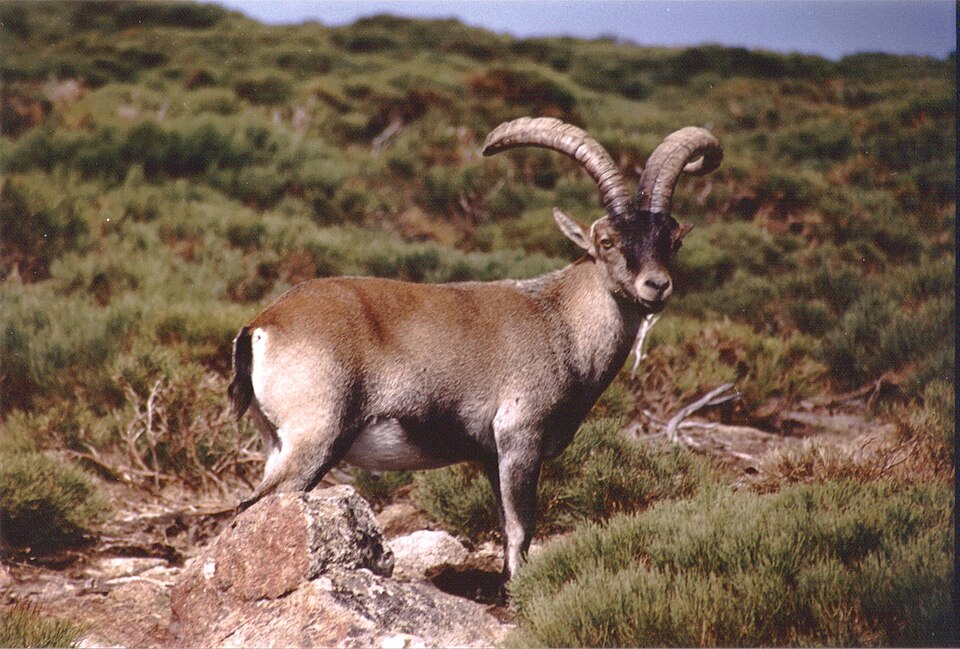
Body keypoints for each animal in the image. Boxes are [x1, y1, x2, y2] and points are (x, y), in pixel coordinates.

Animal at [228, 117, 721, 580]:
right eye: (607, 241)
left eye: (672, 240)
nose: (656, 286)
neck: (560, 320)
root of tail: (263, 326)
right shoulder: (519, 436)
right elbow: (521, 529)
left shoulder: (490, 454)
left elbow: (505, 526)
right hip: (315, 440)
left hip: (278, 443)